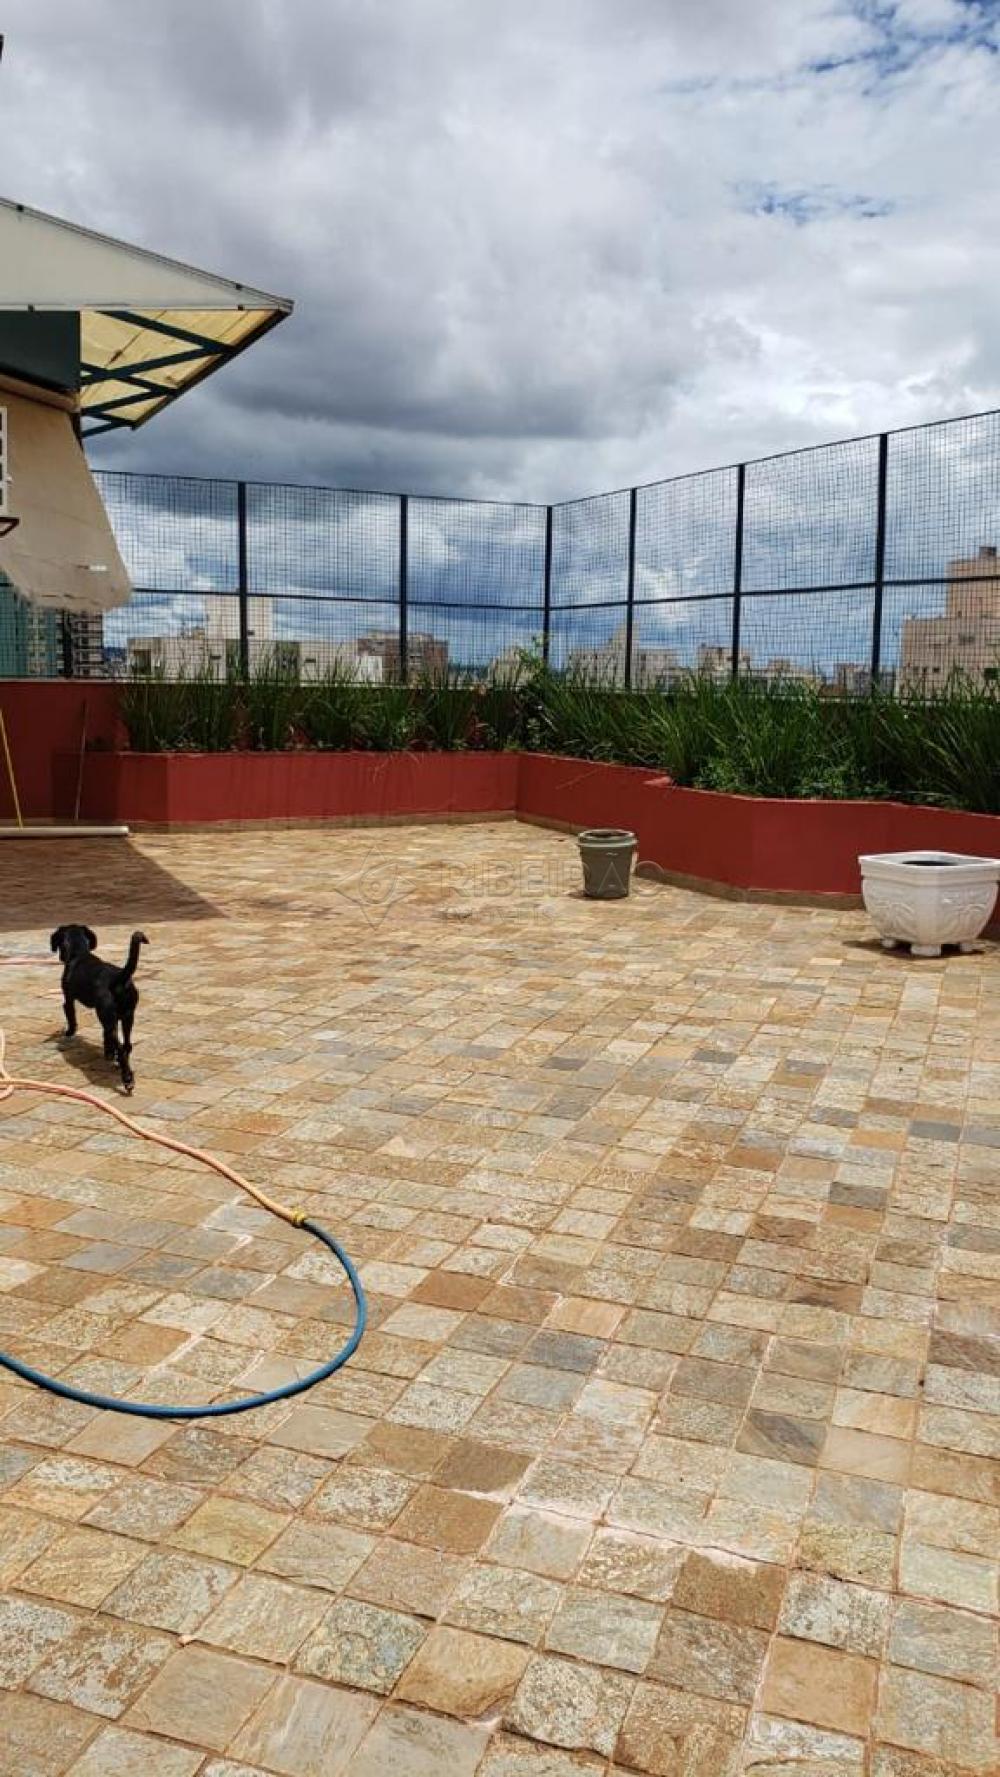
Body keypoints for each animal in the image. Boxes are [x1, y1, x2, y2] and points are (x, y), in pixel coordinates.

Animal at [49, 926, 149, 1094]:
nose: (61, 958)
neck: (79, 953)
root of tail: (119, 977)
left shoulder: (68, 999)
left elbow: (71, 1018)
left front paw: (68, 1033)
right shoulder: (111, 1019)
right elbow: (106, 1038)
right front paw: (108, 1052)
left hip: (108, 1016)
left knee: (121, 1048)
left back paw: (127, 1079)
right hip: (127, 1016)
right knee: (126, 1045)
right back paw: (122, 1066)